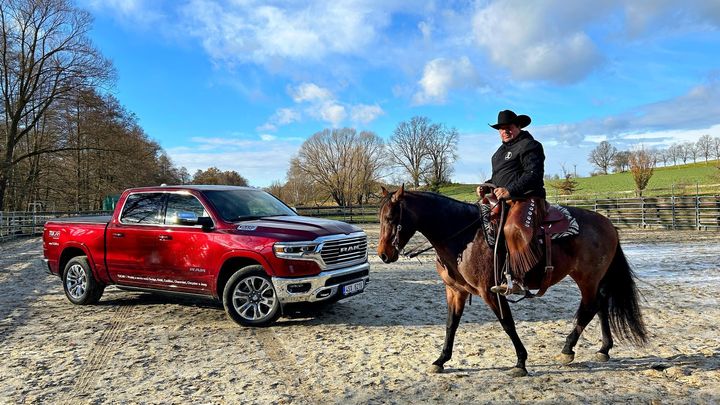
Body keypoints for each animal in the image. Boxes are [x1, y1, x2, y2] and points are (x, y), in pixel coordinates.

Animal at [376, 185, 648, 376]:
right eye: (379, 218)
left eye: (391, 218)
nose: (383, 254)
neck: (464, 237)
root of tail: (607, 223)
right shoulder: (455, 291)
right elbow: (451, 324)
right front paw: (440, 360)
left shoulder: (490, 291)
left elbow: (507, 324)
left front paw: (520, 362)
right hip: (592, 278)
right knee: (601, 304)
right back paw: (603, 349)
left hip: (587, 277)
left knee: (590, 307)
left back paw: (567, 350)